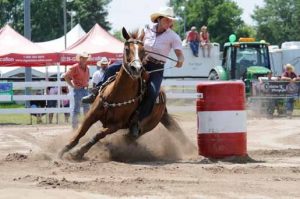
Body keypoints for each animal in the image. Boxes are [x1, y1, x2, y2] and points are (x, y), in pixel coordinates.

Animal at [58, 26, 183, 160]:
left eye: (143, 51)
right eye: (127, 49)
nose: (137, 69)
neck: (116, 94)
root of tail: (163, 107)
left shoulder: (116, 125)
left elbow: (98, 135)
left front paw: (78, 152)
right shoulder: (91, 115)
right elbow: (80, 132)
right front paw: (64, 149)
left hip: (144, 127)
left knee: (129, 137)